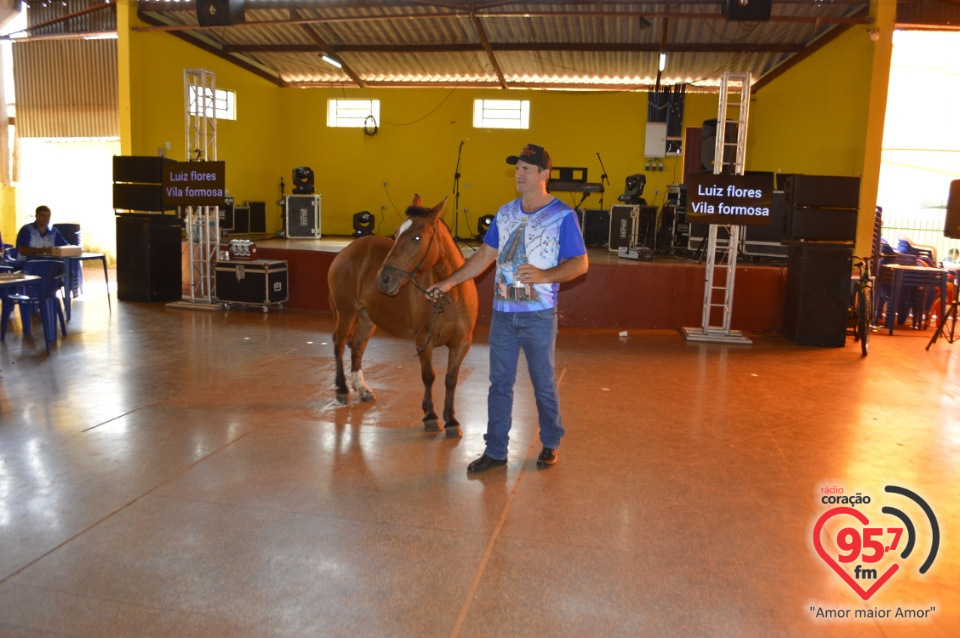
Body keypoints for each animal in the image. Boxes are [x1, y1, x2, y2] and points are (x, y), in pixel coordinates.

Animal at [330, 195, 480, 440]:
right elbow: (429, 376)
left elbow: (451, 380)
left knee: (358, 346)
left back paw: (362, 389)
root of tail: (348, 250)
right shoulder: (424, 342)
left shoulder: (461, 343)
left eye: (417, 237)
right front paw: (430, 417)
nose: (384, 279)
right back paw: (342, 389)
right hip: (347, 312)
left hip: (366, 317)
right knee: (339, 343)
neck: (448, 295)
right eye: (396, 233)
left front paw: (451, 421)